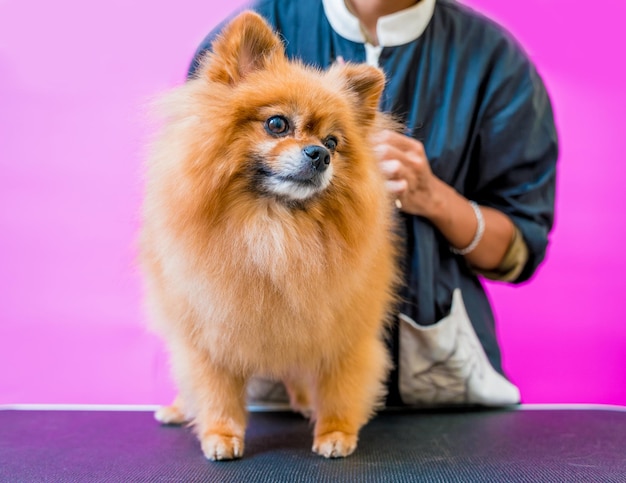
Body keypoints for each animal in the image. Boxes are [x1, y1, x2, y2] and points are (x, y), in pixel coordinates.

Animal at [140, 11, 398, 462]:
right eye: (277, 124)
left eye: (333, 141)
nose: (320, 154)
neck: (275, 228)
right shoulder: (209, 332)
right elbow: (216, 392)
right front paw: (221, 435)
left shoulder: (345, 332)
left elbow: (340, 387)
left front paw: (336, 432)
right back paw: (178, 409)